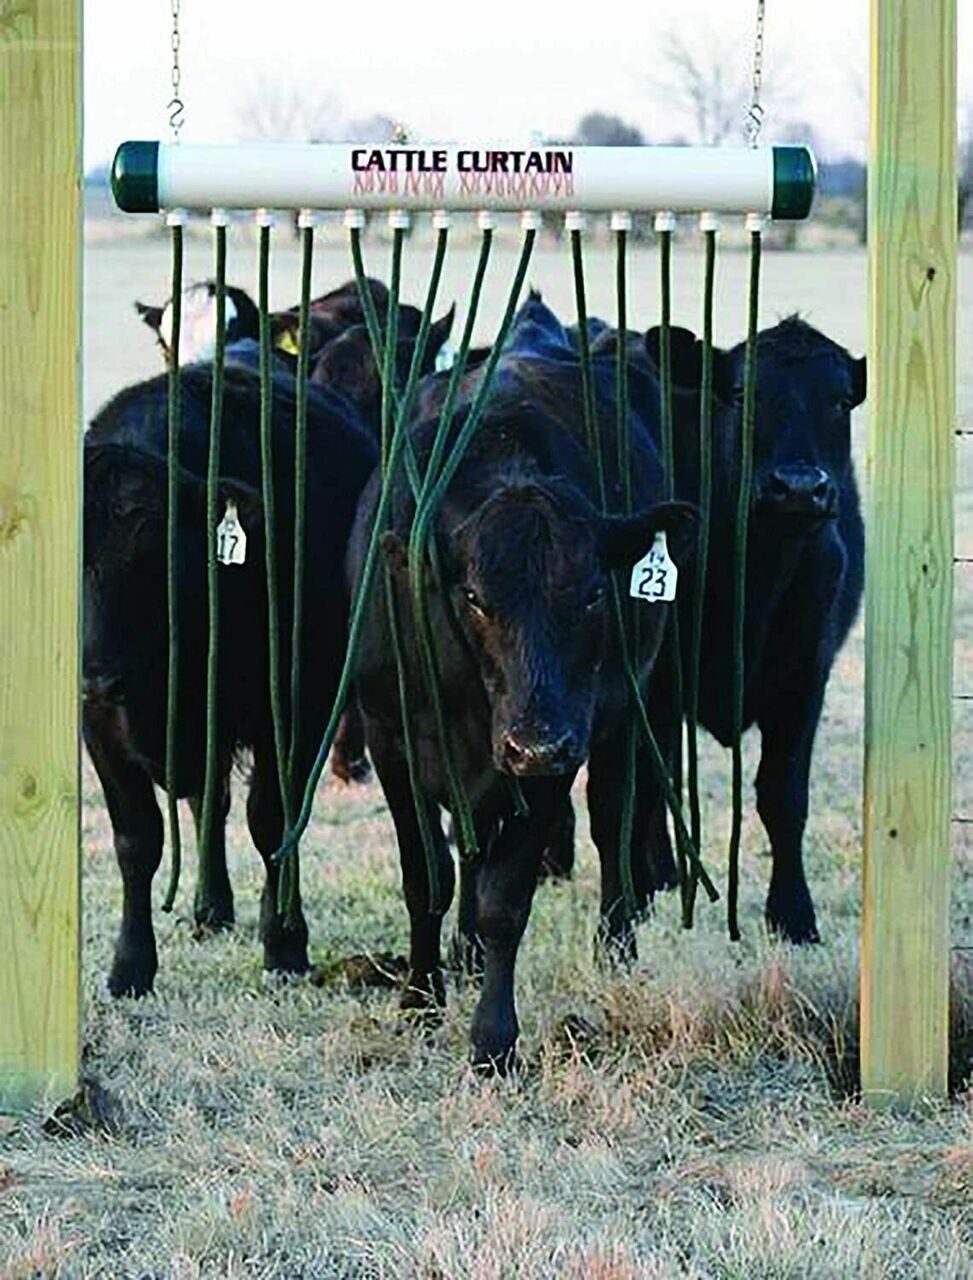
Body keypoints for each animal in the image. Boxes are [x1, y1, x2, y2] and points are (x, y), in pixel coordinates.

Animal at [84, 355, 378, 994]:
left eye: (156, 556)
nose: (95, 675)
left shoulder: (293, 711)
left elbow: (271, 823)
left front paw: (285, 945)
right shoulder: (100, 728)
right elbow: (137, 841)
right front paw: (130, 966)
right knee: (205, 805)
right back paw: (210, 907)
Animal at [348, 293, 695, 1071]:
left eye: (594, 594)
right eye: (475, 597)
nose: (533, 743)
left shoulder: (556, 752)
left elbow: (506, 899)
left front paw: (493, 1039)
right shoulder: (390, 735)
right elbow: (427, 877)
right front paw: (420, 998)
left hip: (622, 721)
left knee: (613, 827)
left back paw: (614, 953)